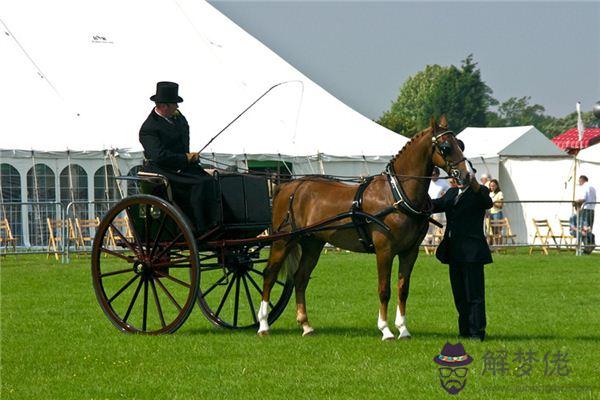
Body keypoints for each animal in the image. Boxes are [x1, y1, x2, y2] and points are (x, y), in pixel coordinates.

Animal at [255, 116, 472, 340]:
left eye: (460, 144)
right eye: (445, 147)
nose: (466, 176)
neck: (396, 195)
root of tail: (288, 186)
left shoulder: (410, 251)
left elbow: (403, 289)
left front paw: (403, 329)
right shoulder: (384, 250)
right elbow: (384, 289)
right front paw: (385, 330)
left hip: (312, 244)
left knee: (300, 278)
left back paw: (306, 325)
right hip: (283, 240)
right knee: (269, 275)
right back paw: (263, 324)